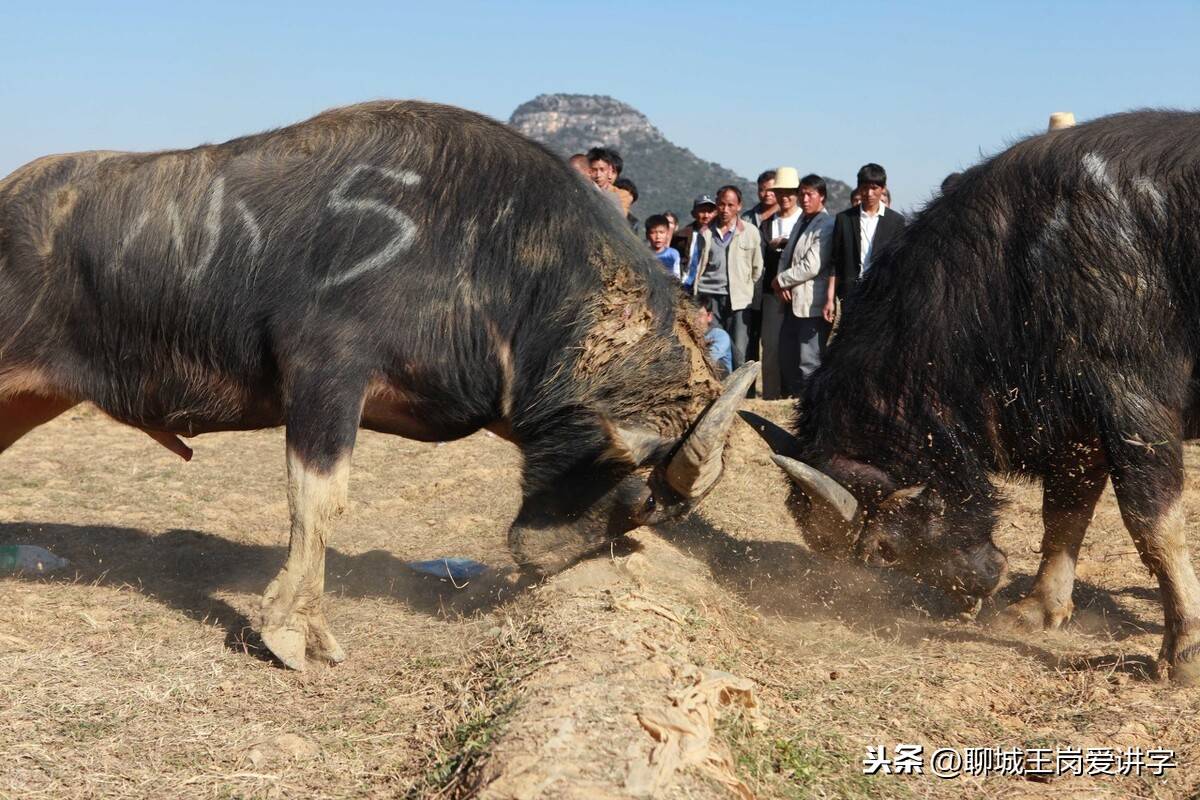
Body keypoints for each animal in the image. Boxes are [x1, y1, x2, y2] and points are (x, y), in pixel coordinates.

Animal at [0, 100, 753, 671]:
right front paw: (295, 631)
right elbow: (319, 501)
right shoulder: (326, 375)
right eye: (640, 498)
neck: (492, 255)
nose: (551, 562)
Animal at [772, 109, 1200, 686]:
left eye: (883, 552)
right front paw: (1037, 608)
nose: (979, 585)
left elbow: (1154, 524)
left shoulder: (1133, 400)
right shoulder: (1075, 422)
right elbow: (1063, 513)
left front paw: (1184, 647)